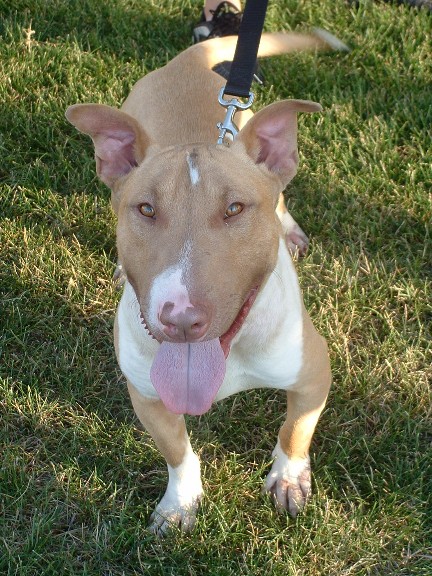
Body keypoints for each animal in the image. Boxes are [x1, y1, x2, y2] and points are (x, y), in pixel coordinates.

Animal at [67, 30, 338, 536]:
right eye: (145, 209)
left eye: (235, 209)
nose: (181, 319)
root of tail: (189, 60)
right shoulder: (147, 395)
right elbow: (178, 453)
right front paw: (179, 504)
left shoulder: (313, 374)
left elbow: (295, 430)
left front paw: (289, 479)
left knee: (282, 194)